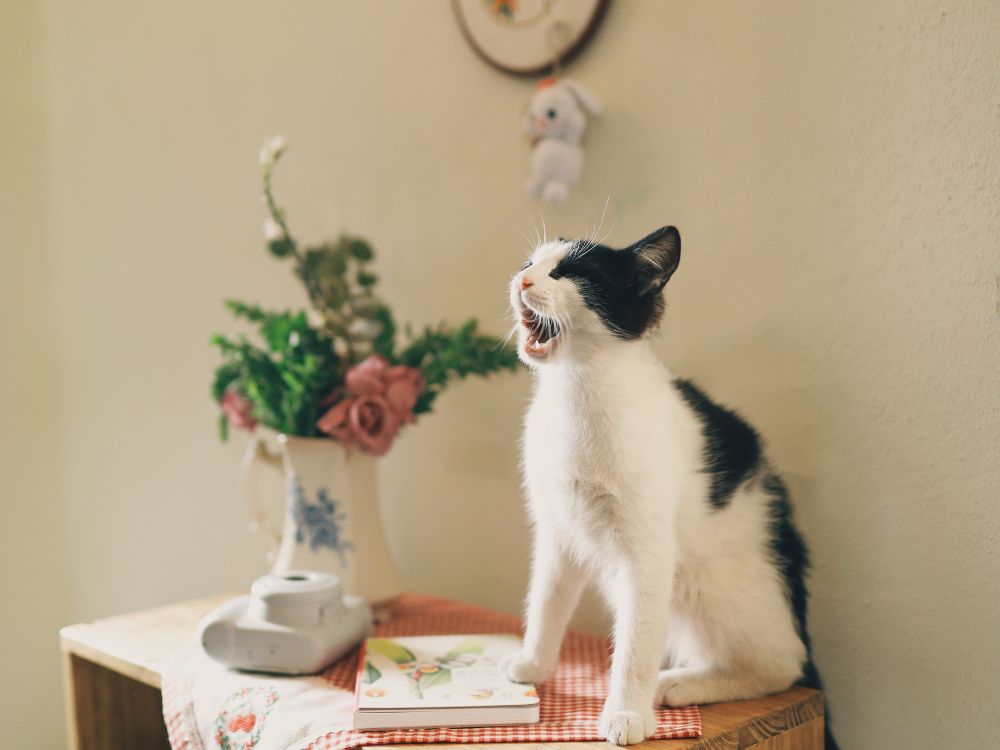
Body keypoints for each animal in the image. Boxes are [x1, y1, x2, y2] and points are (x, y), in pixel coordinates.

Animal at [500, 226, 836, 748]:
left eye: (573, 273)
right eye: (529, 263)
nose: (522, 280)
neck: (575, 391)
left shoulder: (648, 551)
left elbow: (636, 642)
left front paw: (626, 714)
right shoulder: (557, 530)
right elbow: (547, 599)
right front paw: (535, 664)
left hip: (711, 584)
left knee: (782, 665)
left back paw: (680, 684)